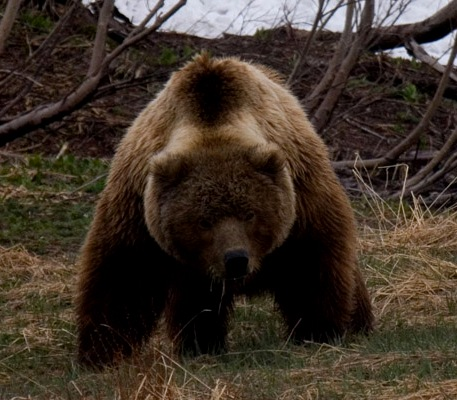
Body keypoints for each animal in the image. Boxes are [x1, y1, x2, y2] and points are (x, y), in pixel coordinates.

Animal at [75, 52, 374, 368]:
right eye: (204, 221)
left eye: (250, 213)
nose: (236, 259)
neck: (212, 123)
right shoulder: (138, 207)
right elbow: (124, 276)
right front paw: (101, 351)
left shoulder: (301, 198)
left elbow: (310, 264)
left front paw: (319, 330)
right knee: (195, 303)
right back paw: (201, 344)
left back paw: (359, 323)